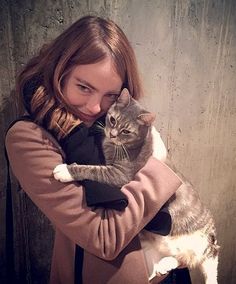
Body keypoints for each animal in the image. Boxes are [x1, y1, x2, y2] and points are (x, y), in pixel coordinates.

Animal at [53, 88, 219, 282]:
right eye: (112, 120)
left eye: (126, 131)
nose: (112, 134)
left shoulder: (120, 175)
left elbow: (93, 170)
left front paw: (65, 170)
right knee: (179, 258)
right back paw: (162, 265)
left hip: (204, 247)